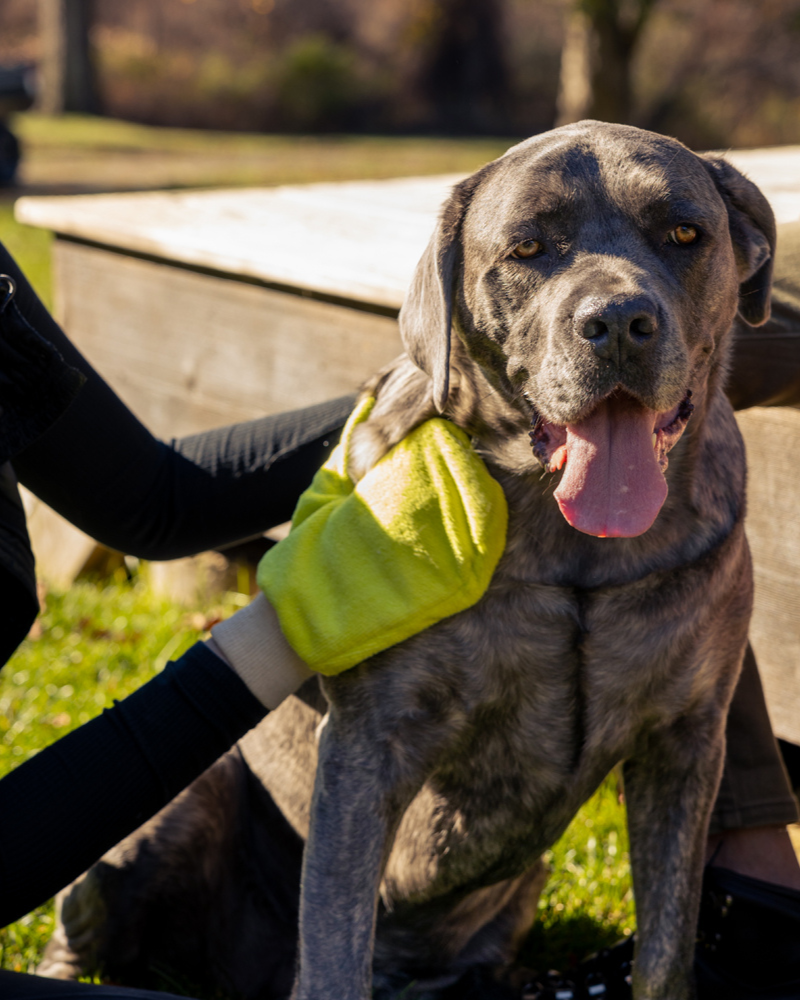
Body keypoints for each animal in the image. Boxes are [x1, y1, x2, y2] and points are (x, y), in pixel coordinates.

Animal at [42, 123, 776, 1000]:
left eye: (685, 234)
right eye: (528, 248)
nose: (621, 320)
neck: (573, 555)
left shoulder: (684, 744)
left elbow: (665, 952)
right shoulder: (370, 748)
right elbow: (333, 944)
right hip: (170, 815)